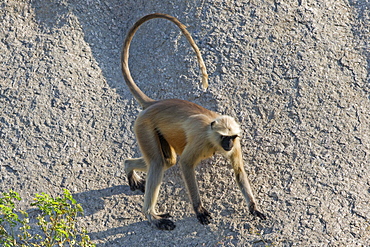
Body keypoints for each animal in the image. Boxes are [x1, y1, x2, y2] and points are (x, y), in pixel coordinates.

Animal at [121, 13, 266, 230]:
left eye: (232, 137)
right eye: (224, 137)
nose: (228, 144)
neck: (212, 135)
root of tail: (156, 103)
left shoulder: (237, 144)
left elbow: (239, 171)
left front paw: (253, 207)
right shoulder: (200, 140)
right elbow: (186, 164)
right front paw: (199, 210)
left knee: (167, 161)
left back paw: (129, 166)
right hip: (144, 126)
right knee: (159, 162)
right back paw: (152, 216)